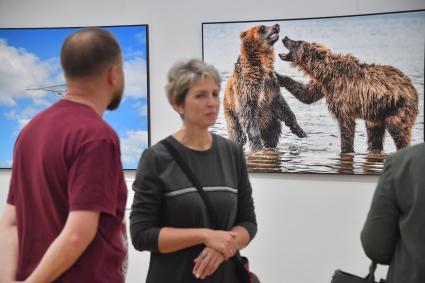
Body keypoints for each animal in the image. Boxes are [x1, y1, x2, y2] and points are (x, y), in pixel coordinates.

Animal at [222, 24, 304, 153]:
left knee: (272, 136)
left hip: (270, 120)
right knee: (237, 134)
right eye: (262, 27)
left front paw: (299, 130)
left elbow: (283, 106)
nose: (276, 25)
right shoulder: (247, 87)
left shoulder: (271, 85)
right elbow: (248, 114)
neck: (262, 64)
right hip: (231, 113)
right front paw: (256, 146)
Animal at [274, 37, 418, 155]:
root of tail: (411, 86)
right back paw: (374, 149)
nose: (285, 38)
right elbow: (307, 94)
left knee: (399, 130)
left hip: (397, 106)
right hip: (377, 113)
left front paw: (346, 149)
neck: (326, 73)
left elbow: (346, 125)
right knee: (374, 133)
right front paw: (278, 76)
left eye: (297, 42)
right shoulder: (323, 85)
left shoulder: (342, 93)